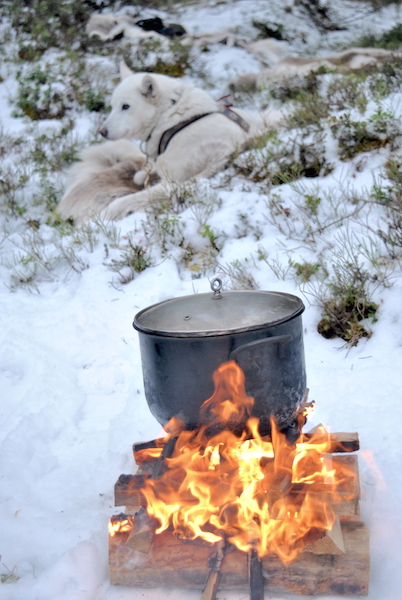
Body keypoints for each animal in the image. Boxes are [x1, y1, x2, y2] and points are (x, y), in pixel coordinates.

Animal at [59, 62, 282, 224]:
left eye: (126, 106)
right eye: (113, 106)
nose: (102, 132)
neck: (171, 119)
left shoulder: (172, 182)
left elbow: (124, 201)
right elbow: (145, 173)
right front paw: (141, 175)